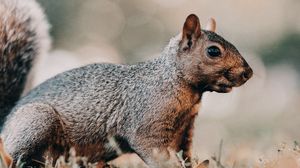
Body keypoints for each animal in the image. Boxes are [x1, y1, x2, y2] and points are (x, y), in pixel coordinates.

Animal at [0, 0, 253, 167]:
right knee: (15, 156)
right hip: (37, 121)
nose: (248, 73)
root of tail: (5, 121)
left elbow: (186, 154)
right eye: (213, 51)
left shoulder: (185, 130)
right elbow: (154, 152)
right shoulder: (146, 124)